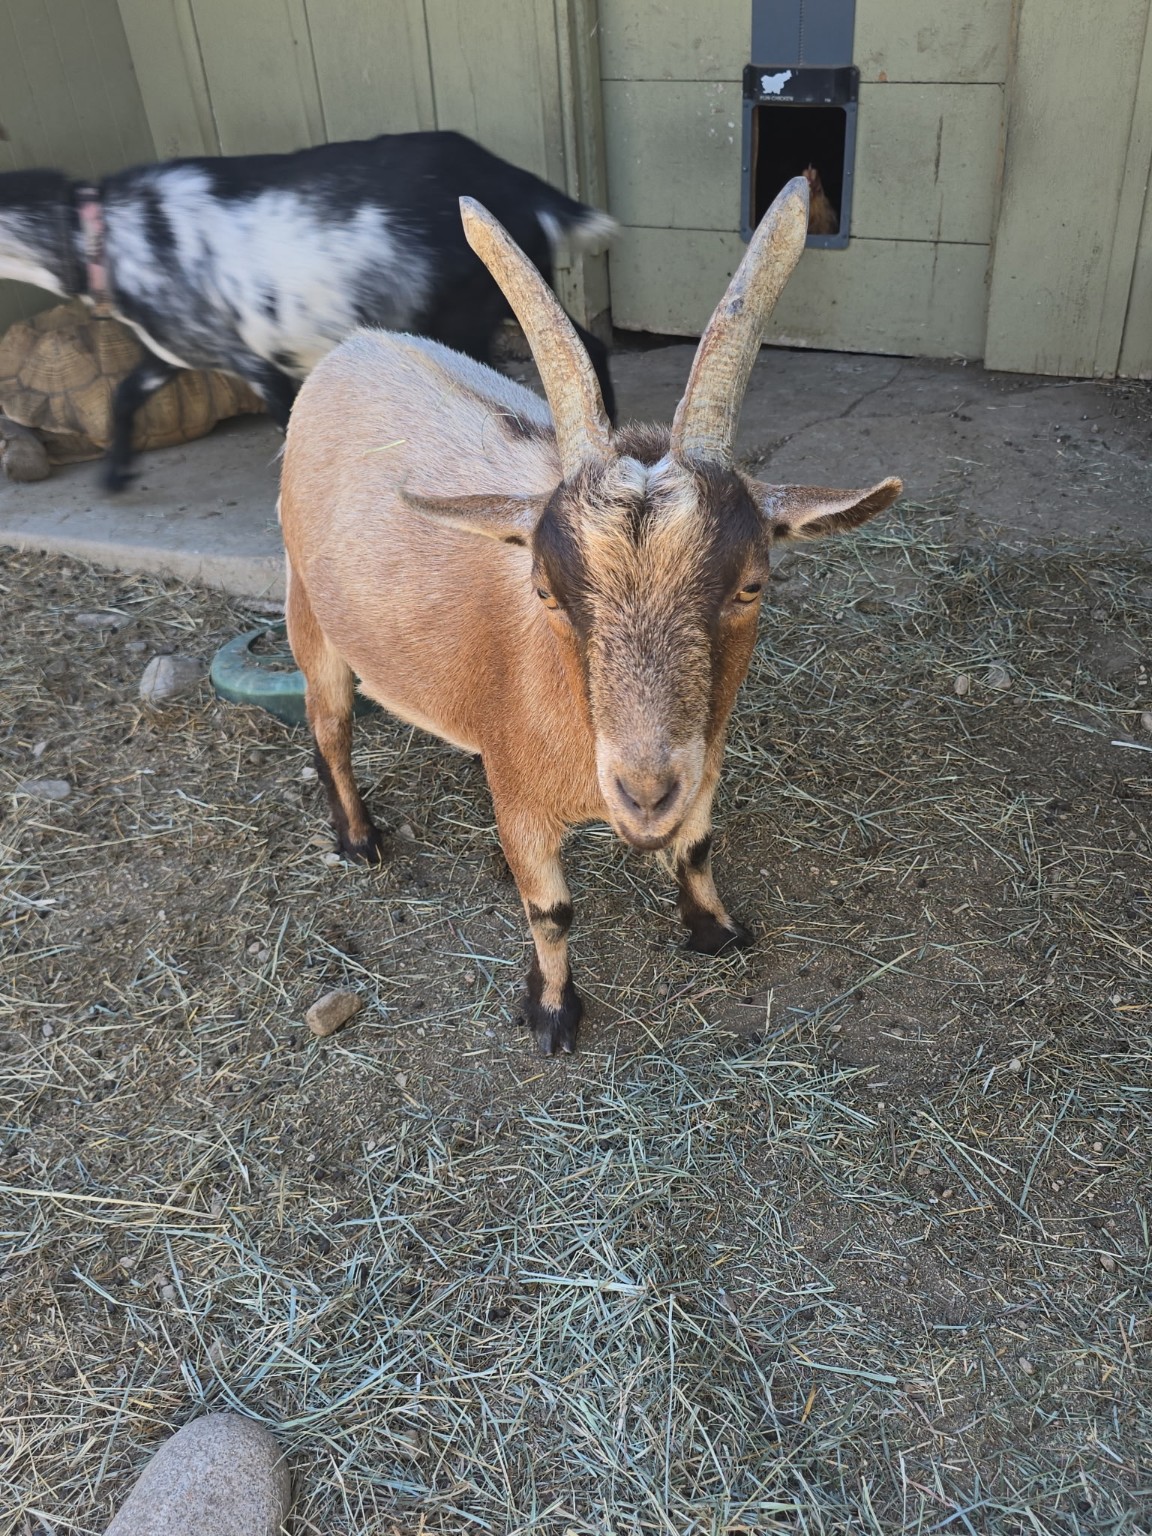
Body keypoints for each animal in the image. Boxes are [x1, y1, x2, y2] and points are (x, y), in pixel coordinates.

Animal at [0, 132, 616, 491]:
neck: (99, 235)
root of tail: (515, 184)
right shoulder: (174, 350)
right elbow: (124, 395)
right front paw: (114, 476)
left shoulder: (255, 360)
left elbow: (287, 424)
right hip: (518, 284)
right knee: (587, 344)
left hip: (467, 310)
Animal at [279, 178, 902, 1055]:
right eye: (545, 590)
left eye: (750, 585)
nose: (642, 795)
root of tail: (355, 346)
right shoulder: (532, 805)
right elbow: (551, 908)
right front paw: (551, 1013)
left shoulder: (702, 761)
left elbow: (697, 847)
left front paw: (715, 930)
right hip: (308, 606)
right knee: (329, 724)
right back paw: (360, 839)